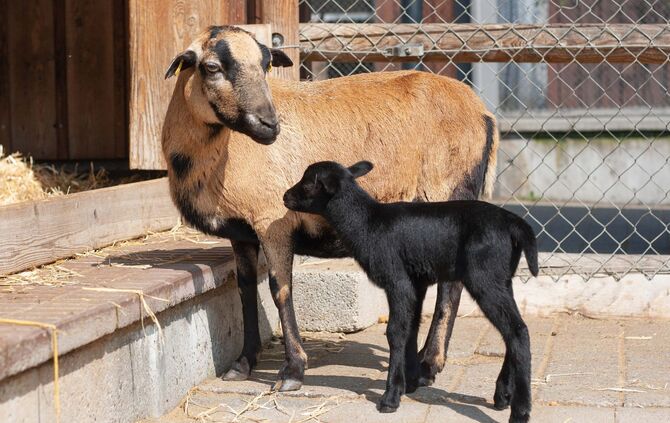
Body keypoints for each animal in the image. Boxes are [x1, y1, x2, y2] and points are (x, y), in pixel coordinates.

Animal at [162, 25, 499, 392]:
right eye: (211, 67)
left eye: (266, 64)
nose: (270, 125)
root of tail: (485, 113)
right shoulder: (242, 233)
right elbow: (246, 292)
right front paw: (242, 364)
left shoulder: (271, 221)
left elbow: (280, 290)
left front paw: (293, 371)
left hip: (446, 193)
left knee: (451, 286)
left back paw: (428, 365)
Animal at [283, 160, 537, 423]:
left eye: (308, 183)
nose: (285, 197)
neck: (366, 223)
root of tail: (513, 223)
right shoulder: (417, 283)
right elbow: (412, 330)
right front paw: (411, 382)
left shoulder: (398, 281)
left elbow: (395, 333)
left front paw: (391, 396)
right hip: (503, 278)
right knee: (513, 330)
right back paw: (503, 395)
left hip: (484, 278)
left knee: (517, 332)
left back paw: (520, 410)